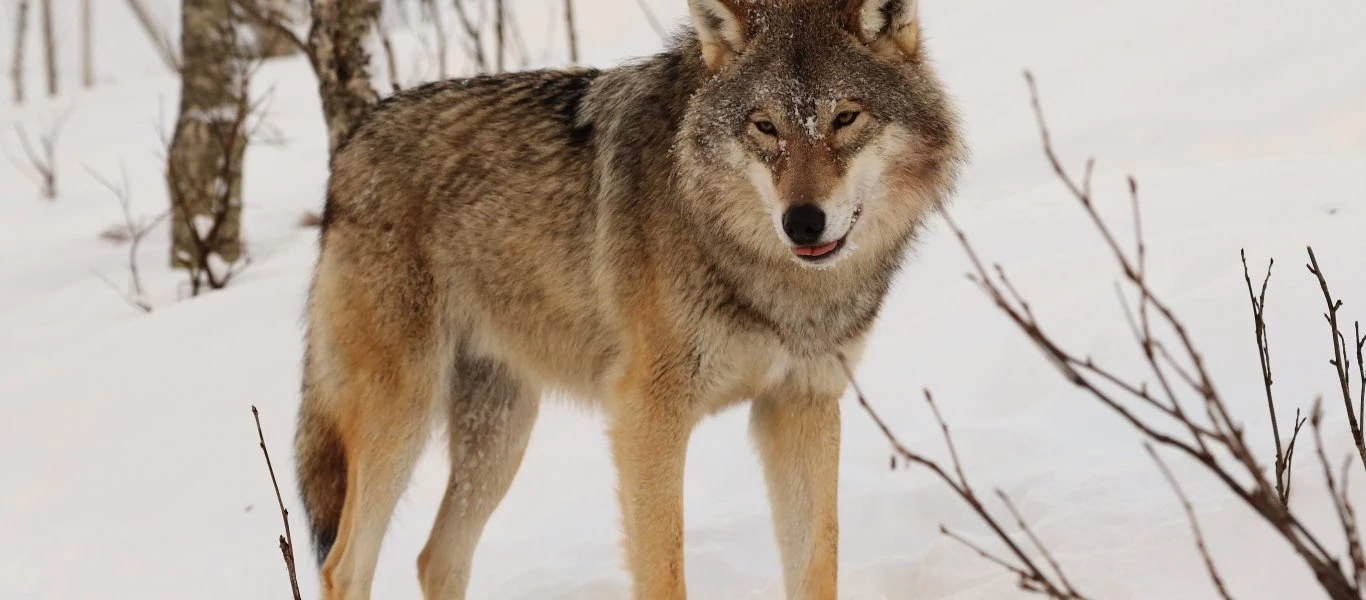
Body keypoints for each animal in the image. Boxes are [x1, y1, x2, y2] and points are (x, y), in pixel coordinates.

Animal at [299, 0, 961, 595]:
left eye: (846, 118)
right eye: (765, 127)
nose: (802, 223)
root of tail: (351, 144)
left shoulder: (802, 404)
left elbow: (816, 567)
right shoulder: (645, 414)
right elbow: (663, 573)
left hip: (500, 433)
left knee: (436, 558)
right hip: (401, 416)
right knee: (343, 566)